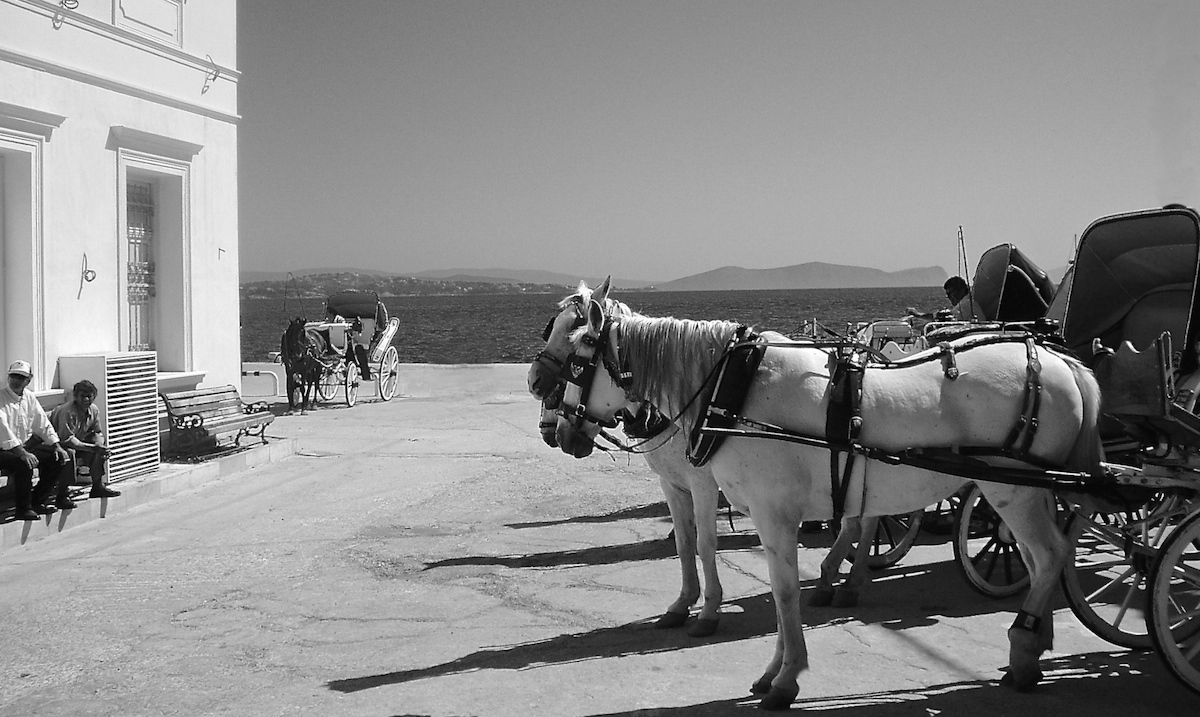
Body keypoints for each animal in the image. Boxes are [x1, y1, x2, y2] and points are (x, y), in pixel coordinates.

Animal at [549, 279, 1099, 709]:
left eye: (578, 357)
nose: (563, 431)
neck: (735, 389)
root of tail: (1058, 360)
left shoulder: (773, 513)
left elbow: (783, 591)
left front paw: (786, 678)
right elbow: (772, 588)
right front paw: (772, 670)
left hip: (1012, 489)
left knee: (1051, 554)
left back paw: (1024, 648)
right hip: (1027, 491)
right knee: (1037, 558)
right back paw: (1035, 639)